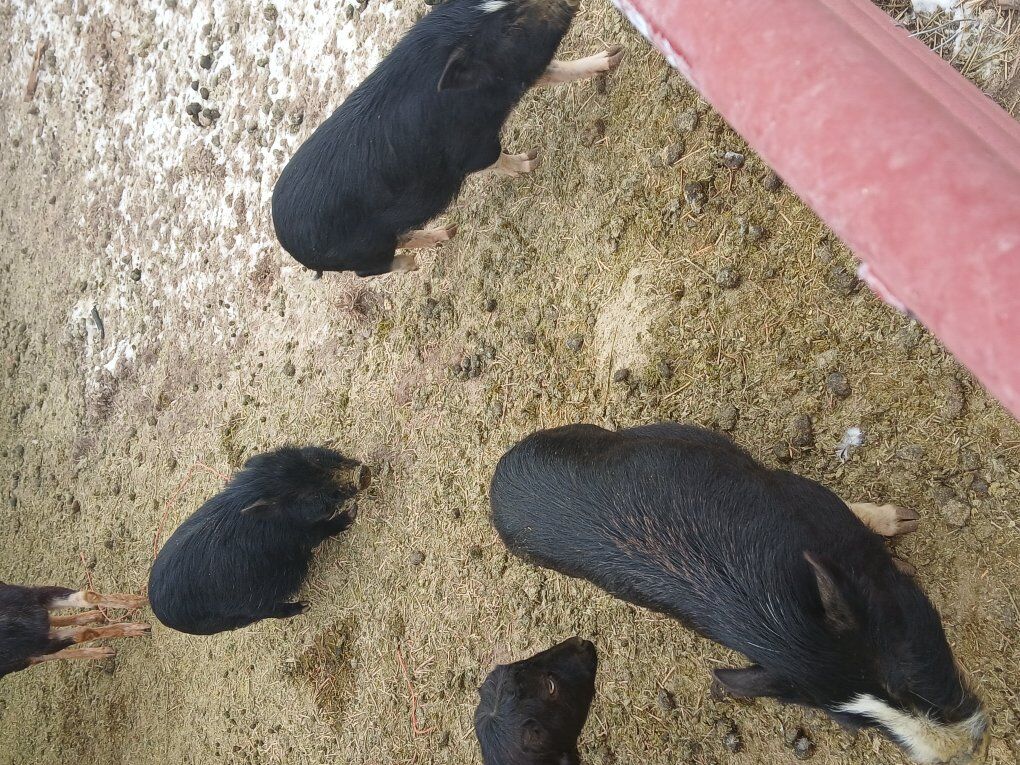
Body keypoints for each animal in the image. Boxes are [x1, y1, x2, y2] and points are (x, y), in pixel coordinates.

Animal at [1, 583, 148, 679]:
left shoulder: (33, 596)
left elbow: (87, 598)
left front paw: (136, 602)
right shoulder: (38, 646)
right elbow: (84, 633)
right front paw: (135, 627)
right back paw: (104, 651)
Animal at [148, 446, 369, 635]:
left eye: (312, 459)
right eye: (308, 495)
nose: (361, 472)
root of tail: (160, 615)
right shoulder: (300, 537)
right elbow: (325, 529)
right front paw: (352, 511)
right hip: (245, 610)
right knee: (271, 612)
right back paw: (305, 606)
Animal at [271, 0, 624, 278]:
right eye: (510, 27)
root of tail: (288, 241)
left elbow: (556, 70)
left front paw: (614, 56)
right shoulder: (470, 148)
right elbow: (495, 159)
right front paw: (532, 160)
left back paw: (448, 232)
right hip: (365, 250)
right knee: (371, 269)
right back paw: (420, 257)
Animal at [490, 423, 988, 765]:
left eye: (907, 672)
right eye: (855, 725)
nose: (962, 751)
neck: (780, 629)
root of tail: (497, 482)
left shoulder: (809, 496)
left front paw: (908, 524)